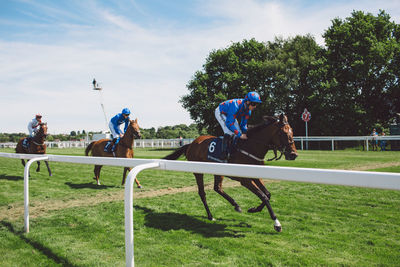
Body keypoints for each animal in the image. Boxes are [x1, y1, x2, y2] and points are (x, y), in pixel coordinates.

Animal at [162, 114, 296, 233]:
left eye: (292, 132)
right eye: (284, 133)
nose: (294, 154)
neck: (250, 147)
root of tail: (192, 143)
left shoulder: (256, 176)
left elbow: (268, 194)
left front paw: (254, 209)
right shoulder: (245, 180)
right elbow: (263, 196)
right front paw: (277, 223)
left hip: (218, 172)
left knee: (217, 188)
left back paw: (236, 205)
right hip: (198, 172)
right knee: (202, 193)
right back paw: (211, 215)